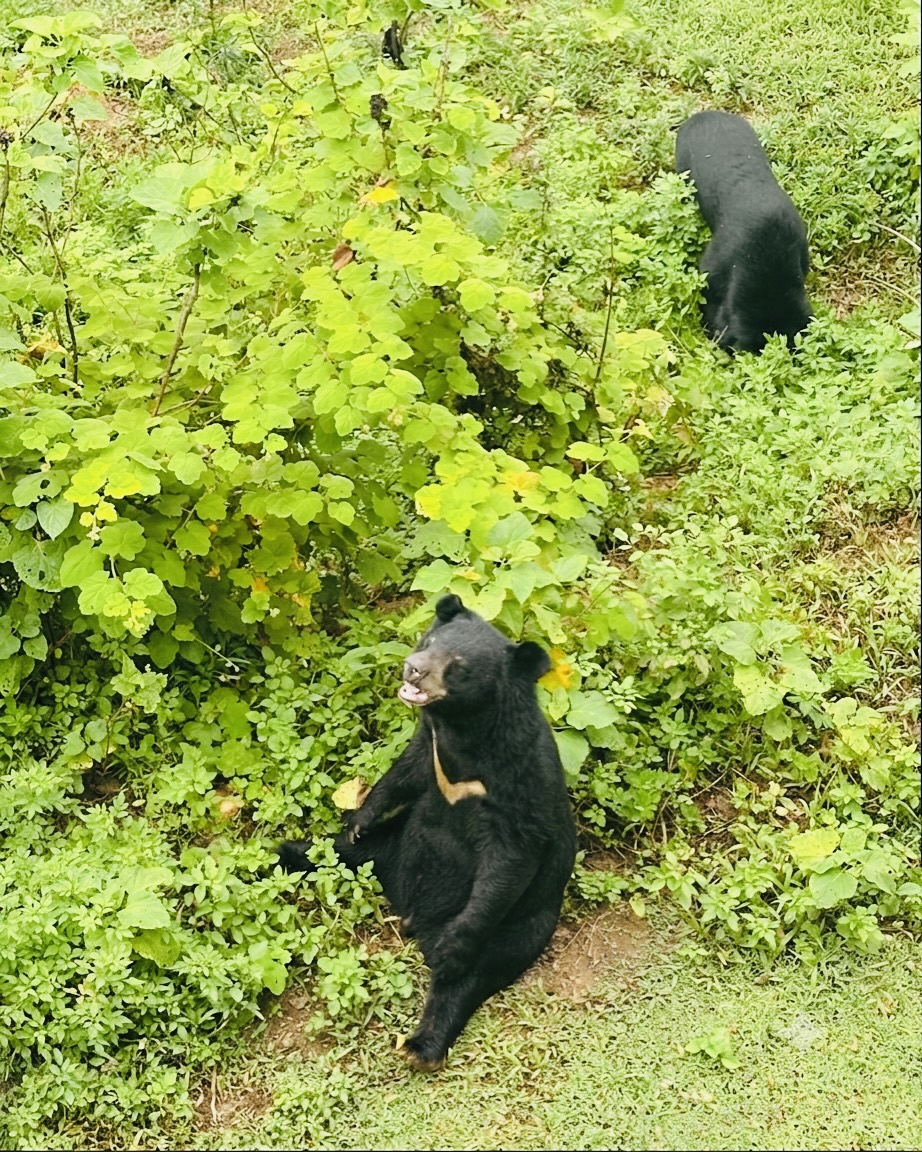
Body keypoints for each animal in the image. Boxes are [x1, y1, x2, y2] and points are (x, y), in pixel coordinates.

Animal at [278, 594, 576, 1071]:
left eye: (457, 665)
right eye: (430, 641)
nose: (412, 669)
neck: (464, 733)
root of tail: (409, 911)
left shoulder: (520, 783)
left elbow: (509, 858)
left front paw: (452, 947)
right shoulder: (430, 748)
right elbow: (405, 773)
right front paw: (358, 818)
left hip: (523, 925)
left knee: (469, 978)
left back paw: (422, 1043)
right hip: (396, 845)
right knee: (349, 854)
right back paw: (290, 851)